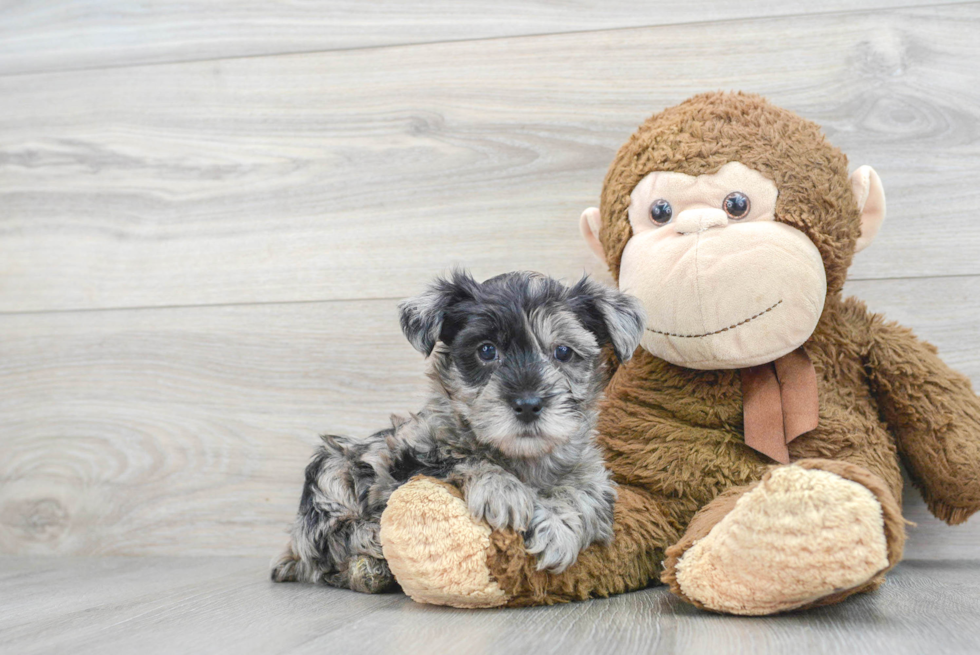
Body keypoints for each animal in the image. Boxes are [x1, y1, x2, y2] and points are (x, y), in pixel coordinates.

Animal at [272, 270, 648, 596]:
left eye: (563, 352)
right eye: (486, 350)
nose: (528, 404)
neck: (521, 458)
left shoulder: (592, 474)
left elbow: (581, 491)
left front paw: (557, 525)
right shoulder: (406, 457)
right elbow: (459, 457)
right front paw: (502, 489)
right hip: (330, 470)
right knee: (325, 548)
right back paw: (370, 553)